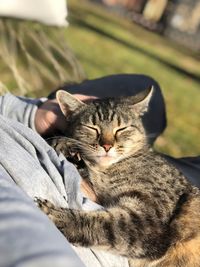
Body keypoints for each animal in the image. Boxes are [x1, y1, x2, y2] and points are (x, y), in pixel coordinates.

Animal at [36, 88, 200, 267]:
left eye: (121, 129)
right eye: (92, 128)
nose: (107, 146)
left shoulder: (148, 222)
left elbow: (104, 225)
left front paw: (57, 214)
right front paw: (64, 145)